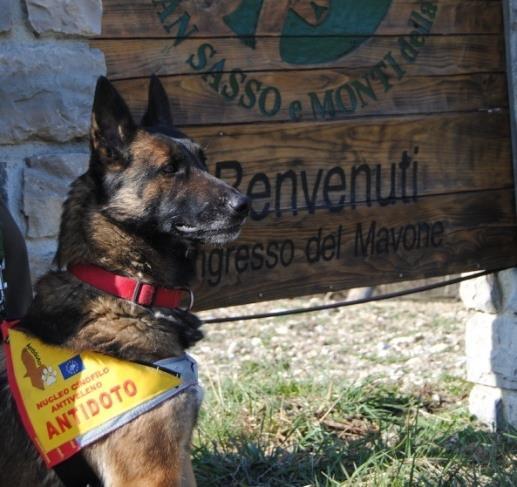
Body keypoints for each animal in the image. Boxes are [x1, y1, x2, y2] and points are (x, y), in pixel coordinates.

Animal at [0, 76, 250, 484]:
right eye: (169, 168)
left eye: (203, 160)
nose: (244, 204)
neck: (126, 289)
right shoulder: (153, 471)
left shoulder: (177, 459)